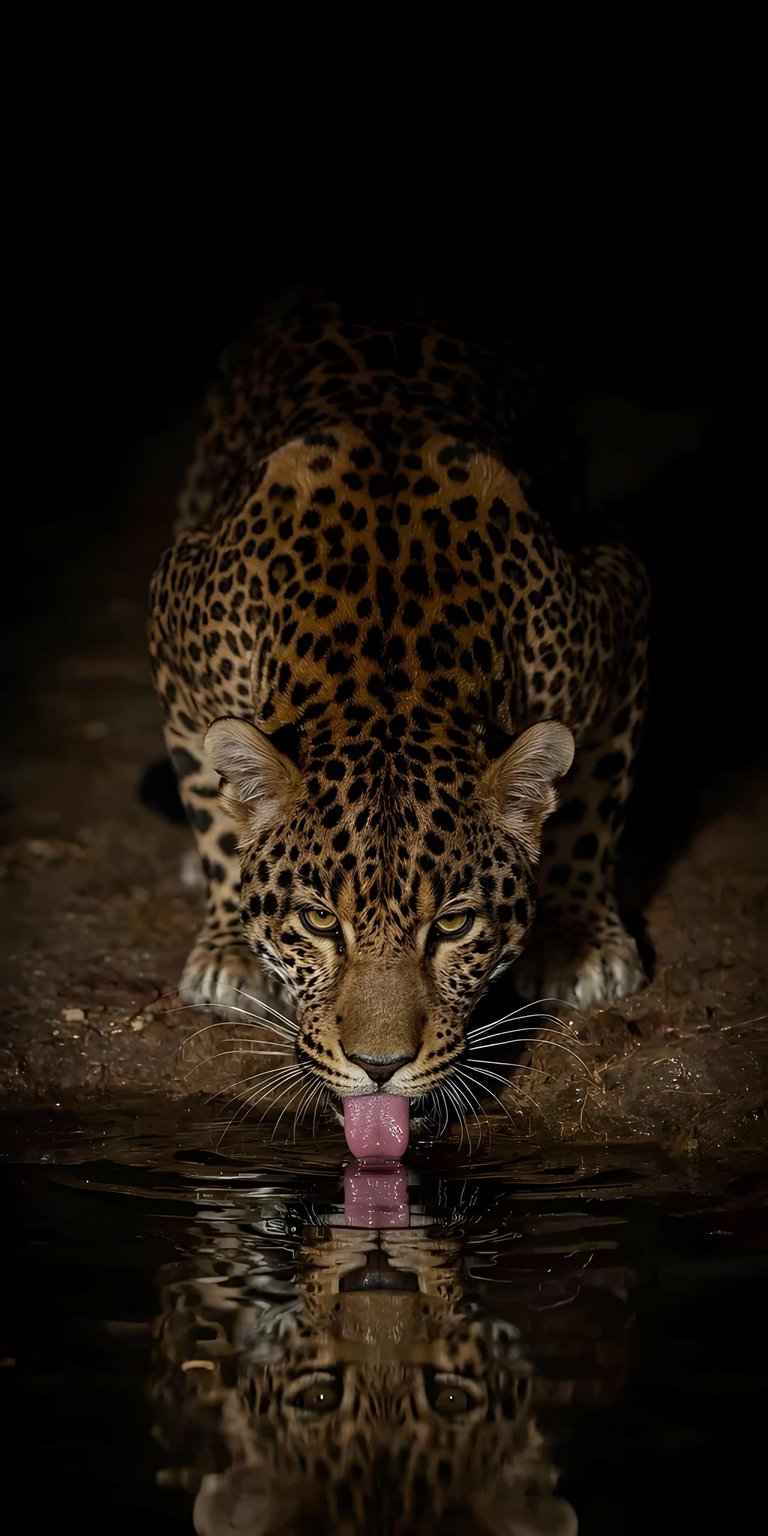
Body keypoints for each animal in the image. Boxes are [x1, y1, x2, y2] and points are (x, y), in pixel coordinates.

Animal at [149, 291, 648, 1116]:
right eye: (319, 920)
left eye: (454, 925)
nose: (378, 1066)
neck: (388, 647)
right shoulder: (176, 616)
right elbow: (215, 814)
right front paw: (229, 948)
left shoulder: (617, 606)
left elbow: (591, 805)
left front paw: (580, 938)